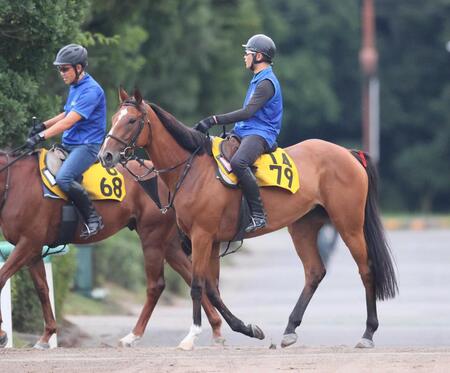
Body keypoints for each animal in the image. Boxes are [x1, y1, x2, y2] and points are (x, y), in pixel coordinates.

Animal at [0, 152, 223, 348]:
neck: (18, 183)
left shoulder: (28, 243)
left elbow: (2, 278)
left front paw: (3, 334)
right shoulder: (34, 249)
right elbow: (42, 288)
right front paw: (46, 335)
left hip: (153, 237)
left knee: (157, 285)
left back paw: (133, 336)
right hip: (168, 245)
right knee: (192, 277)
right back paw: (215, 327)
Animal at [98, 88, 398, 350]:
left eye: (132, 120)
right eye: (114, 118)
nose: (106, 155)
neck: (192, 169)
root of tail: (347, 153)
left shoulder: (202, 236)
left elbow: (197, 286)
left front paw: (191, 336)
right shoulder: (212, 241)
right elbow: (212, 289)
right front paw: (247, 329)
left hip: (349, 226)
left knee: (366, 269)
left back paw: (367, 333)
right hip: (302, 226)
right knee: (314, 272)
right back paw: (290, 330)